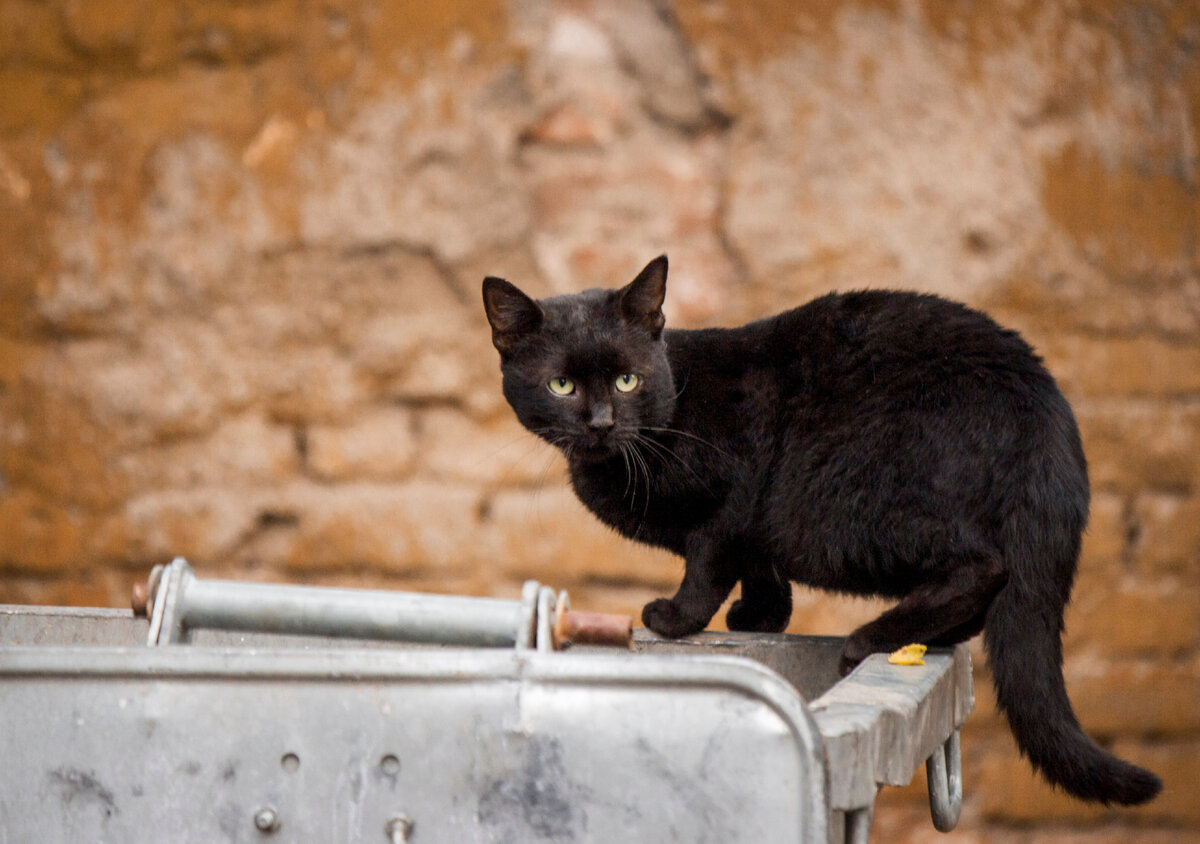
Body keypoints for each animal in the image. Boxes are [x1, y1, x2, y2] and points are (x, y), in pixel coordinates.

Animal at [480, 255, 1161, 806]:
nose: (599, 422)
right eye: (561, 385)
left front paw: (676, 618)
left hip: (843, 501)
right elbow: (761, 571)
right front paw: (759, 618)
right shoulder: (756, 526)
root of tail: (1045, 409)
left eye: (627, 380)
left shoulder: (734, 494)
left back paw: (870, 639)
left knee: (982, 567)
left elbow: (707, 564)